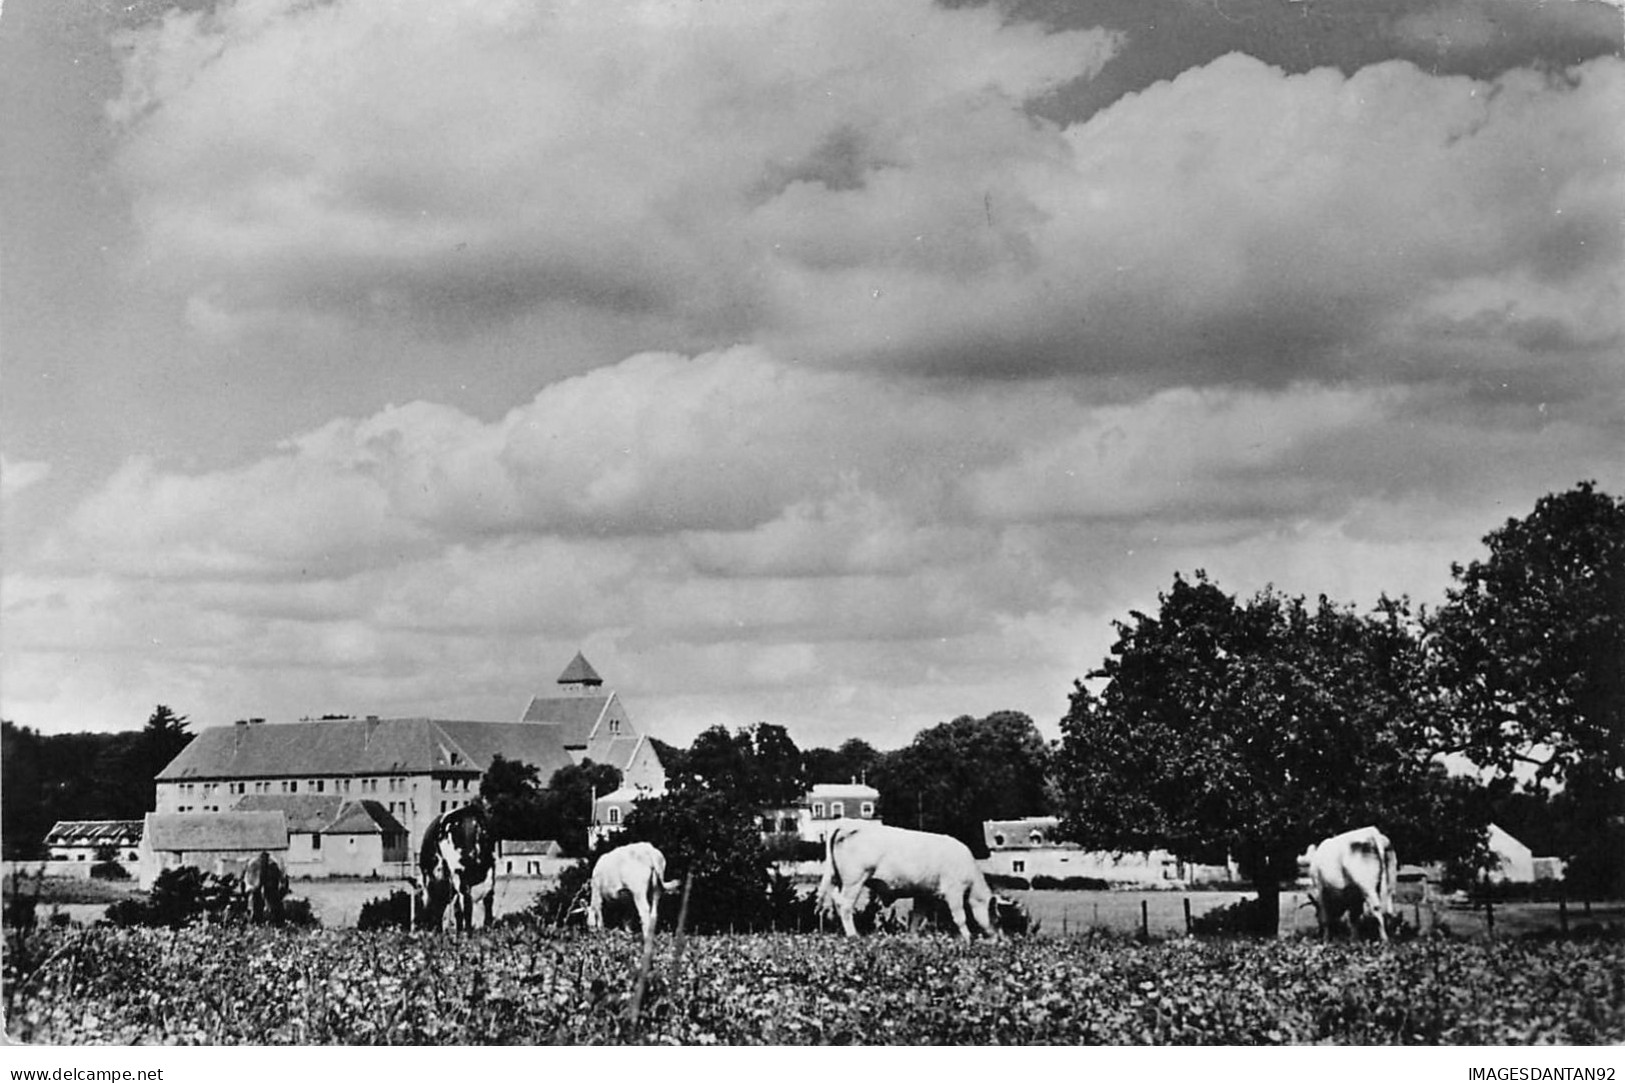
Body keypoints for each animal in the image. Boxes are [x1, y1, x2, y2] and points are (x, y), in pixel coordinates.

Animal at [819, 819, 994, 936]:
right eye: (996, 915)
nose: (997, 938)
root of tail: (847, 824)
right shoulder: (954, 891)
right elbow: (960, 917)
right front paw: (968, 939)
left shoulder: (924, 895)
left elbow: (917, 917)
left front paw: (912, 938)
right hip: (855, 881)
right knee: (845, 905)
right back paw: (853, 935)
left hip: (838, 880)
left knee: (835, 899)